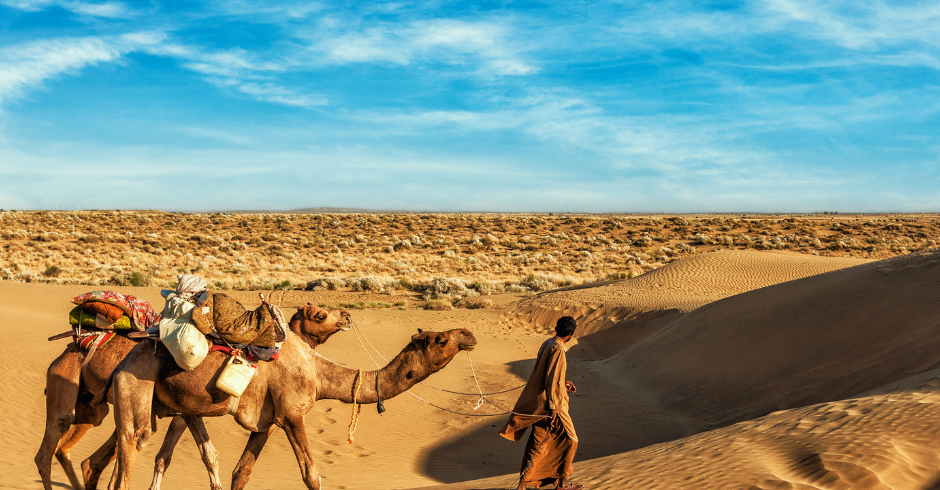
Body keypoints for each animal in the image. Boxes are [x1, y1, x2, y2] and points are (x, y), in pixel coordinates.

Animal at [35, 304, 352, 488]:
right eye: (321, 315)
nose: (347, 317)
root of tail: (74, 344)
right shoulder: (183, 411)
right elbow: (171, 457)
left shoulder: (184, 411)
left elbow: (184, 457)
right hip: (70, 387)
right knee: (54, 445)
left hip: (92, 408)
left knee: (87, 457)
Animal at [103, 326, 478, 490]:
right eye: (442, 339)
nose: (470, 335)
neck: (318, 372)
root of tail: (123, 360)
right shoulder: (292, 414)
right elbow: (312, 475)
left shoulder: (265, 423)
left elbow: (242, 472)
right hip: (135, 388)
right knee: (130, 452)